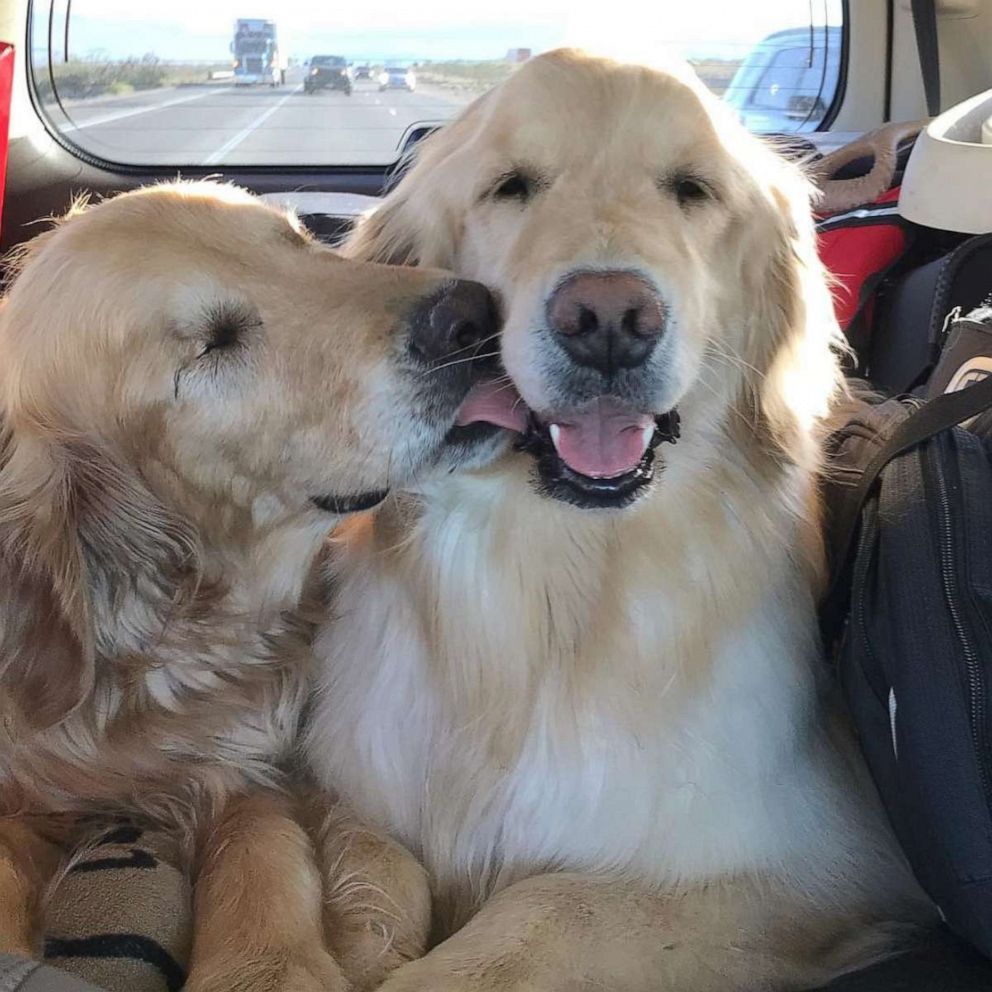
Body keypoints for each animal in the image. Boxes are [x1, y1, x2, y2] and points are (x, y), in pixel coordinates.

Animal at [0, 182, 500, 988]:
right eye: (215, 343)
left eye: (301, 242)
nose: (471, 313)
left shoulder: (248, 763)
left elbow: (262, 843)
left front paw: (271, 960)